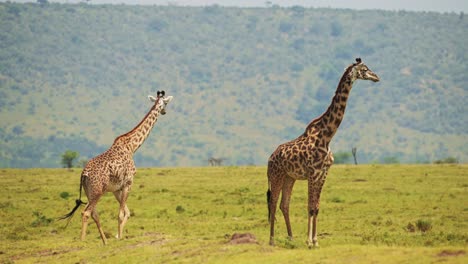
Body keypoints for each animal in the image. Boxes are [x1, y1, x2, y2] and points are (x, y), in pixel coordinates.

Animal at [59, 91, 174, 245]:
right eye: (166, 103)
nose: (164, 112)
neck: (132, 147)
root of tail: (84, 174)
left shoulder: (116, 189)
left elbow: (127, 212)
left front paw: (116, 236)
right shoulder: (128, 183)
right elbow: (121, 214)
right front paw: (119, 237)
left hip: (90, 192)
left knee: (94, 213)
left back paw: (104, 242)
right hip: (97, 192)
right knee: (86, 212)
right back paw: (82, 241)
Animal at [266, 57, 380, 248]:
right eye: (364, 69)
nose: (376, 77)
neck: (327, 136)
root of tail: (269, 159)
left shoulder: (323, 174)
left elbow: (317, 207)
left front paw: (316, 241)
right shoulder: (313, 173)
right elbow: (310, 207)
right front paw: (309, 241)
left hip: (290, 177)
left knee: (284, 204)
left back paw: (291, 237)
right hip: (277, 176)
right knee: (273, 203)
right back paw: (272, 240)